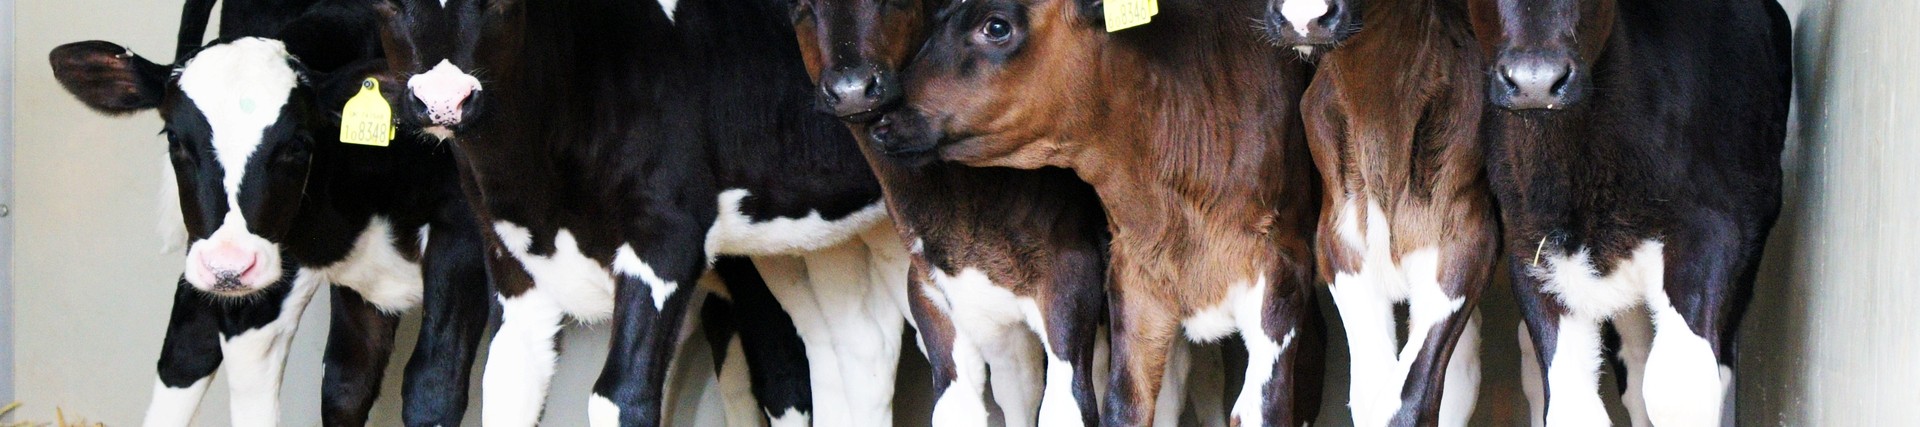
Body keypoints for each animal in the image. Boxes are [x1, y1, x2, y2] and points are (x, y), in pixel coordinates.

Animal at [52, 4, 491, 427]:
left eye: (297, 143)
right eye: (174, 138)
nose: (227, 266)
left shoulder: (462, 237)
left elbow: (432, 388)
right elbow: (336, 386)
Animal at [875, 1, 1336, 425]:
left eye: (997, 26)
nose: (883, 120)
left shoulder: (1283, 269)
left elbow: (1264, 406)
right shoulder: (1133, 279)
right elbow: (1126, 403)